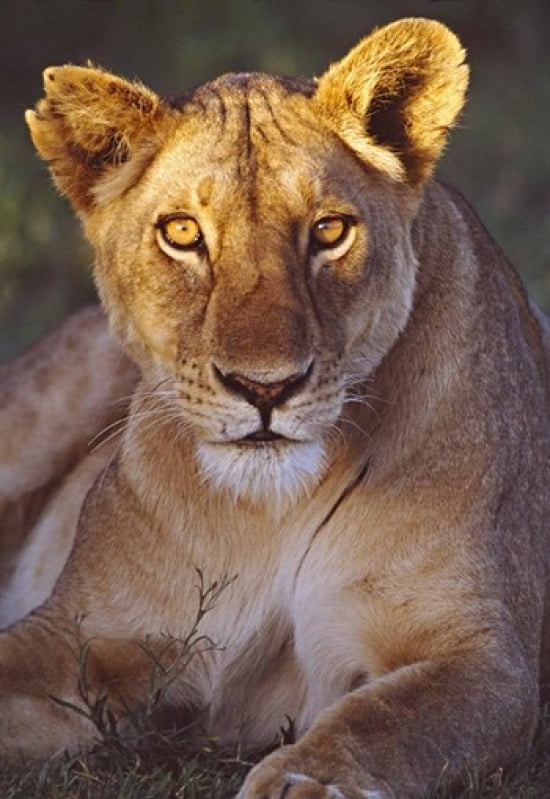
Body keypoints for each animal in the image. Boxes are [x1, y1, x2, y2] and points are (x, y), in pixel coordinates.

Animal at [0, 16, 549, 799]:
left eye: (328, 231)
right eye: (183, 233)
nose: (265, 388)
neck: (271, 512)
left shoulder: (485, 657)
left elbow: (383, 719)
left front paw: (303, 780)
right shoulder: (77, 634)